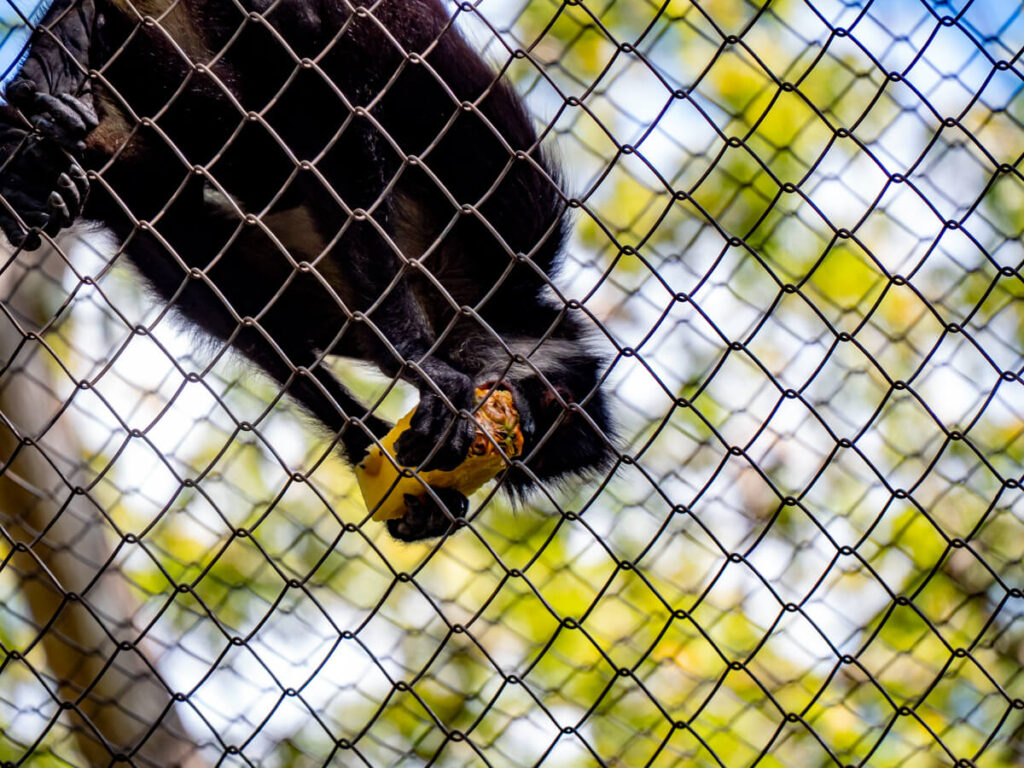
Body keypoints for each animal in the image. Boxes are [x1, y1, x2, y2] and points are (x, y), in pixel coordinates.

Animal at [0, 0, 614, 541]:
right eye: (538, 415)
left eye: (526, 464)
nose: (516, 445)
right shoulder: (512, 223)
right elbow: (331, 117)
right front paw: (417, 362)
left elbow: (222, 283)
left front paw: (387, 463)